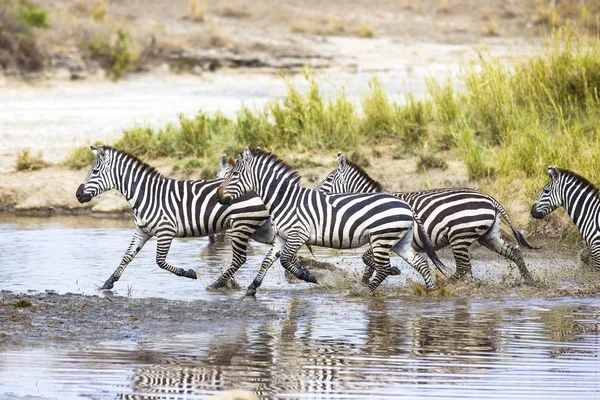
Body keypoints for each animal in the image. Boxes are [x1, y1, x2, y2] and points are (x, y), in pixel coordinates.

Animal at [75, 145, 278, 290]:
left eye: (94, 172)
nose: (78, 195)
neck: (146, 194)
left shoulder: (165, 231)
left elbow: (159, 261)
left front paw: (189, 273)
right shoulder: (142, 231)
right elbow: (127, 256)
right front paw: (108, 283)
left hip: (241, 225)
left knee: (240, 259)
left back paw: (217, 284)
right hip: (261, 228)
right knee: (277, 251)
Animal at [216, 145, 450, 292]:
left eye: (234, 175)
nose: (218, 197)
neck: (285, 199)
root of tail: (407, 206)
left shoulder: (297, 234)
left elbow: (285, 260)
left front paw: (308, 276)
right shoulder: (282, 237)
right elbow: (267, 260)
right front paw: (252, 288)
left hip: (381, 239)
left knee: (384, 268)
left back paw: (365, 293)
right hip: (398, 240)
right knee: (421, 262)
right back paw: (431, 291)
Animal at [316, 151, 536, 284]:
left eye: (327, 179)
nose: (314, 192)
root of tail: (490, 198)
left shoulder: (383, 238)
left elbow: (367, 258)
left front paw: (389, 272)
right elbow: (369, 264)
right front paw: (364, 283)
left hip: (460, 236)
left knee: (464, 267)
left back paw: (450, 284)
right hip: (488, 236)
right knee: (514, 253)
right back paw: (529, 281)